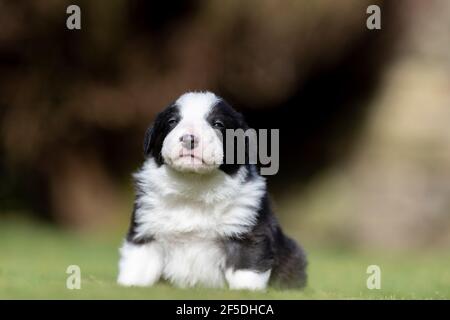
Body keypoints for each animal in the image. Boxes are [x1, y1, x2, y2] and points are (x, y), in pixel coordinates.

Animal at [116, 90, 308, 290]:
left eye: (218, 124)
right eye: (172, 121)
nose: (189, 139)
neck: (194, 185)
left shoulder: (247, 232)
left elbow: (246, 268)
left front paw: (246, 291)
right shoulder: (147, 229)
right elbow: (138, 266)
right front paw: (130, 286)